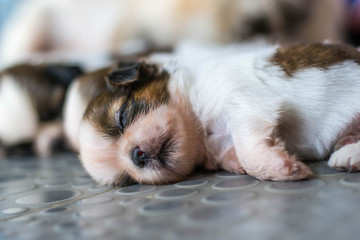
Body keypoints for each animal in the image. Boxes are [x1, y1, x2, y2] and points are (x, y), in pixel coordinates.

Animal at [66, 41, 360, 186]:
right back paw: (348, 149)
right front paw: (236, 162)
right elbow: (232, 154)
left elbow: (249, 148)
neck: (200, 129)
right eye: (127, 180)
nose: (136, 156)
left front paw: (280, 168)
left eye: (122, 117)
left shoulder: (243, 103)